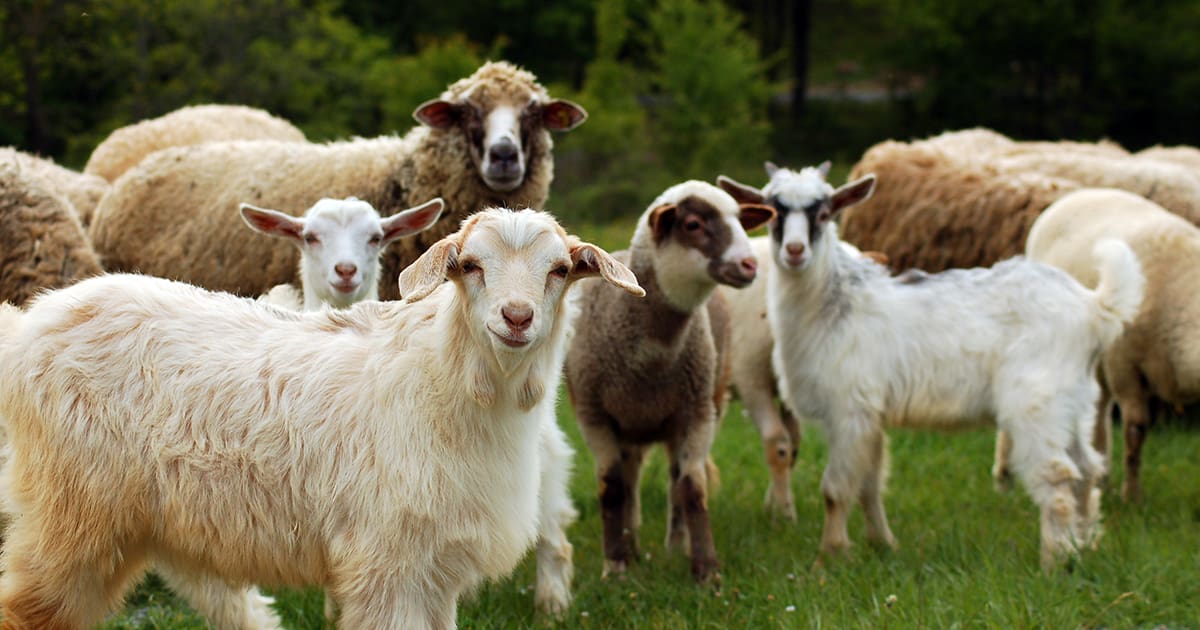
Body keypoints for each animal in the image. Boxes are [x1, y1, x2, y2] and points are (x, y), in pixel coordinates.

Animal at [564, 180, 774, 584]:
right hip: (628, 422)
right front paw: (615, 566)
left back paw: (676, 545)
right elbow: (612, 488)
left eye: (741, 220)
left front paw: (706, 570)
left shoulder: (698, 412)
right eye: (693, 224)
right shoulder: (592, 414)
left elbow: (692, 487)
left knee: (674, 479)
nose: (749, 265)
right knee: (629, 479)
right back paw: (630, 544)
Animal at [720, 163, 1144, 570]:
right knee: (1087, 468)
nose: (795, 251)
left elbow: (836, 489)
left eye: (824, 213)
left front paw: (829, 558)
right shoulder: (871, 415)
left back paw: (1054, 561)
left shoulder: (850, 407)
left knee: (1057, 474)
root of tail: (1094, 308)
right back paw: (1084, 544)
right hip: (1075, 401)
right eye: (773, 212)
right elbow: (869, 484)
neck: (835, 304)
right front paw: (882, 545)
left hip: (1037, 401)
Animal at [997, 188, 1200, 503]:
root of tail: (1079, 194)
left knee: (1098, 412)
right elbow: (1135, 431)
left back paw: (1099, 477)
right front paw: (1132, 496)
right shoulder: (1124, 366)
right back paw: (1004, 480)